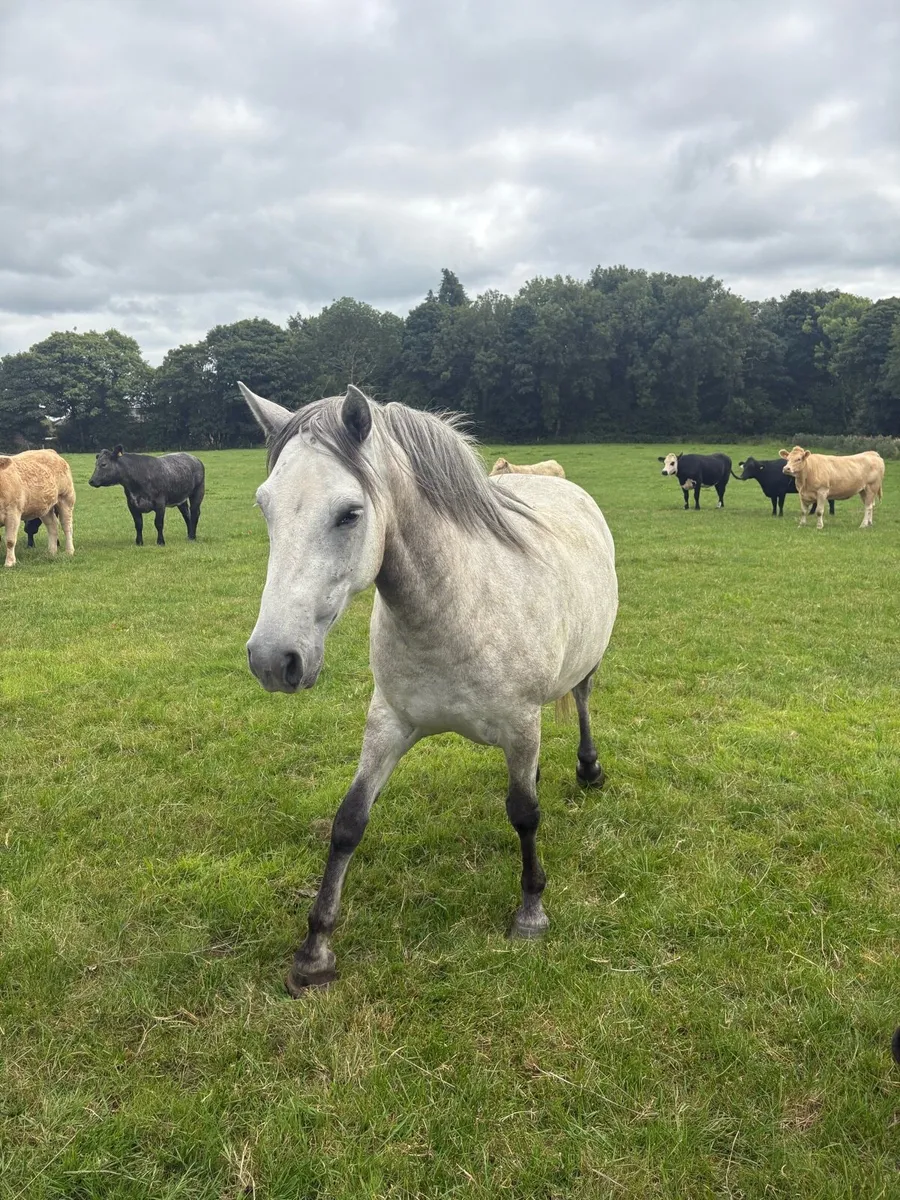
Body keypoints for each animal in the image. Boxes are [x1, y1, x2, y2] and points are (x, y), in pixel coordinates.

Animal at [239, 382, 619, 994]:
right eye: (264, 506)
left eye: (349, 513)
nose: (274, 660)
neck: (455, 606)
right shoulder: (389, 721)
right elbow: (348, 822)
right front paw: (315, 952)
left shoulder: (520, 723)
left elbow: (524, 814)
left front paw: (530, 912)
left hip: (586, 662)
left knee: (581, 702)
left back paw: (589, 770)